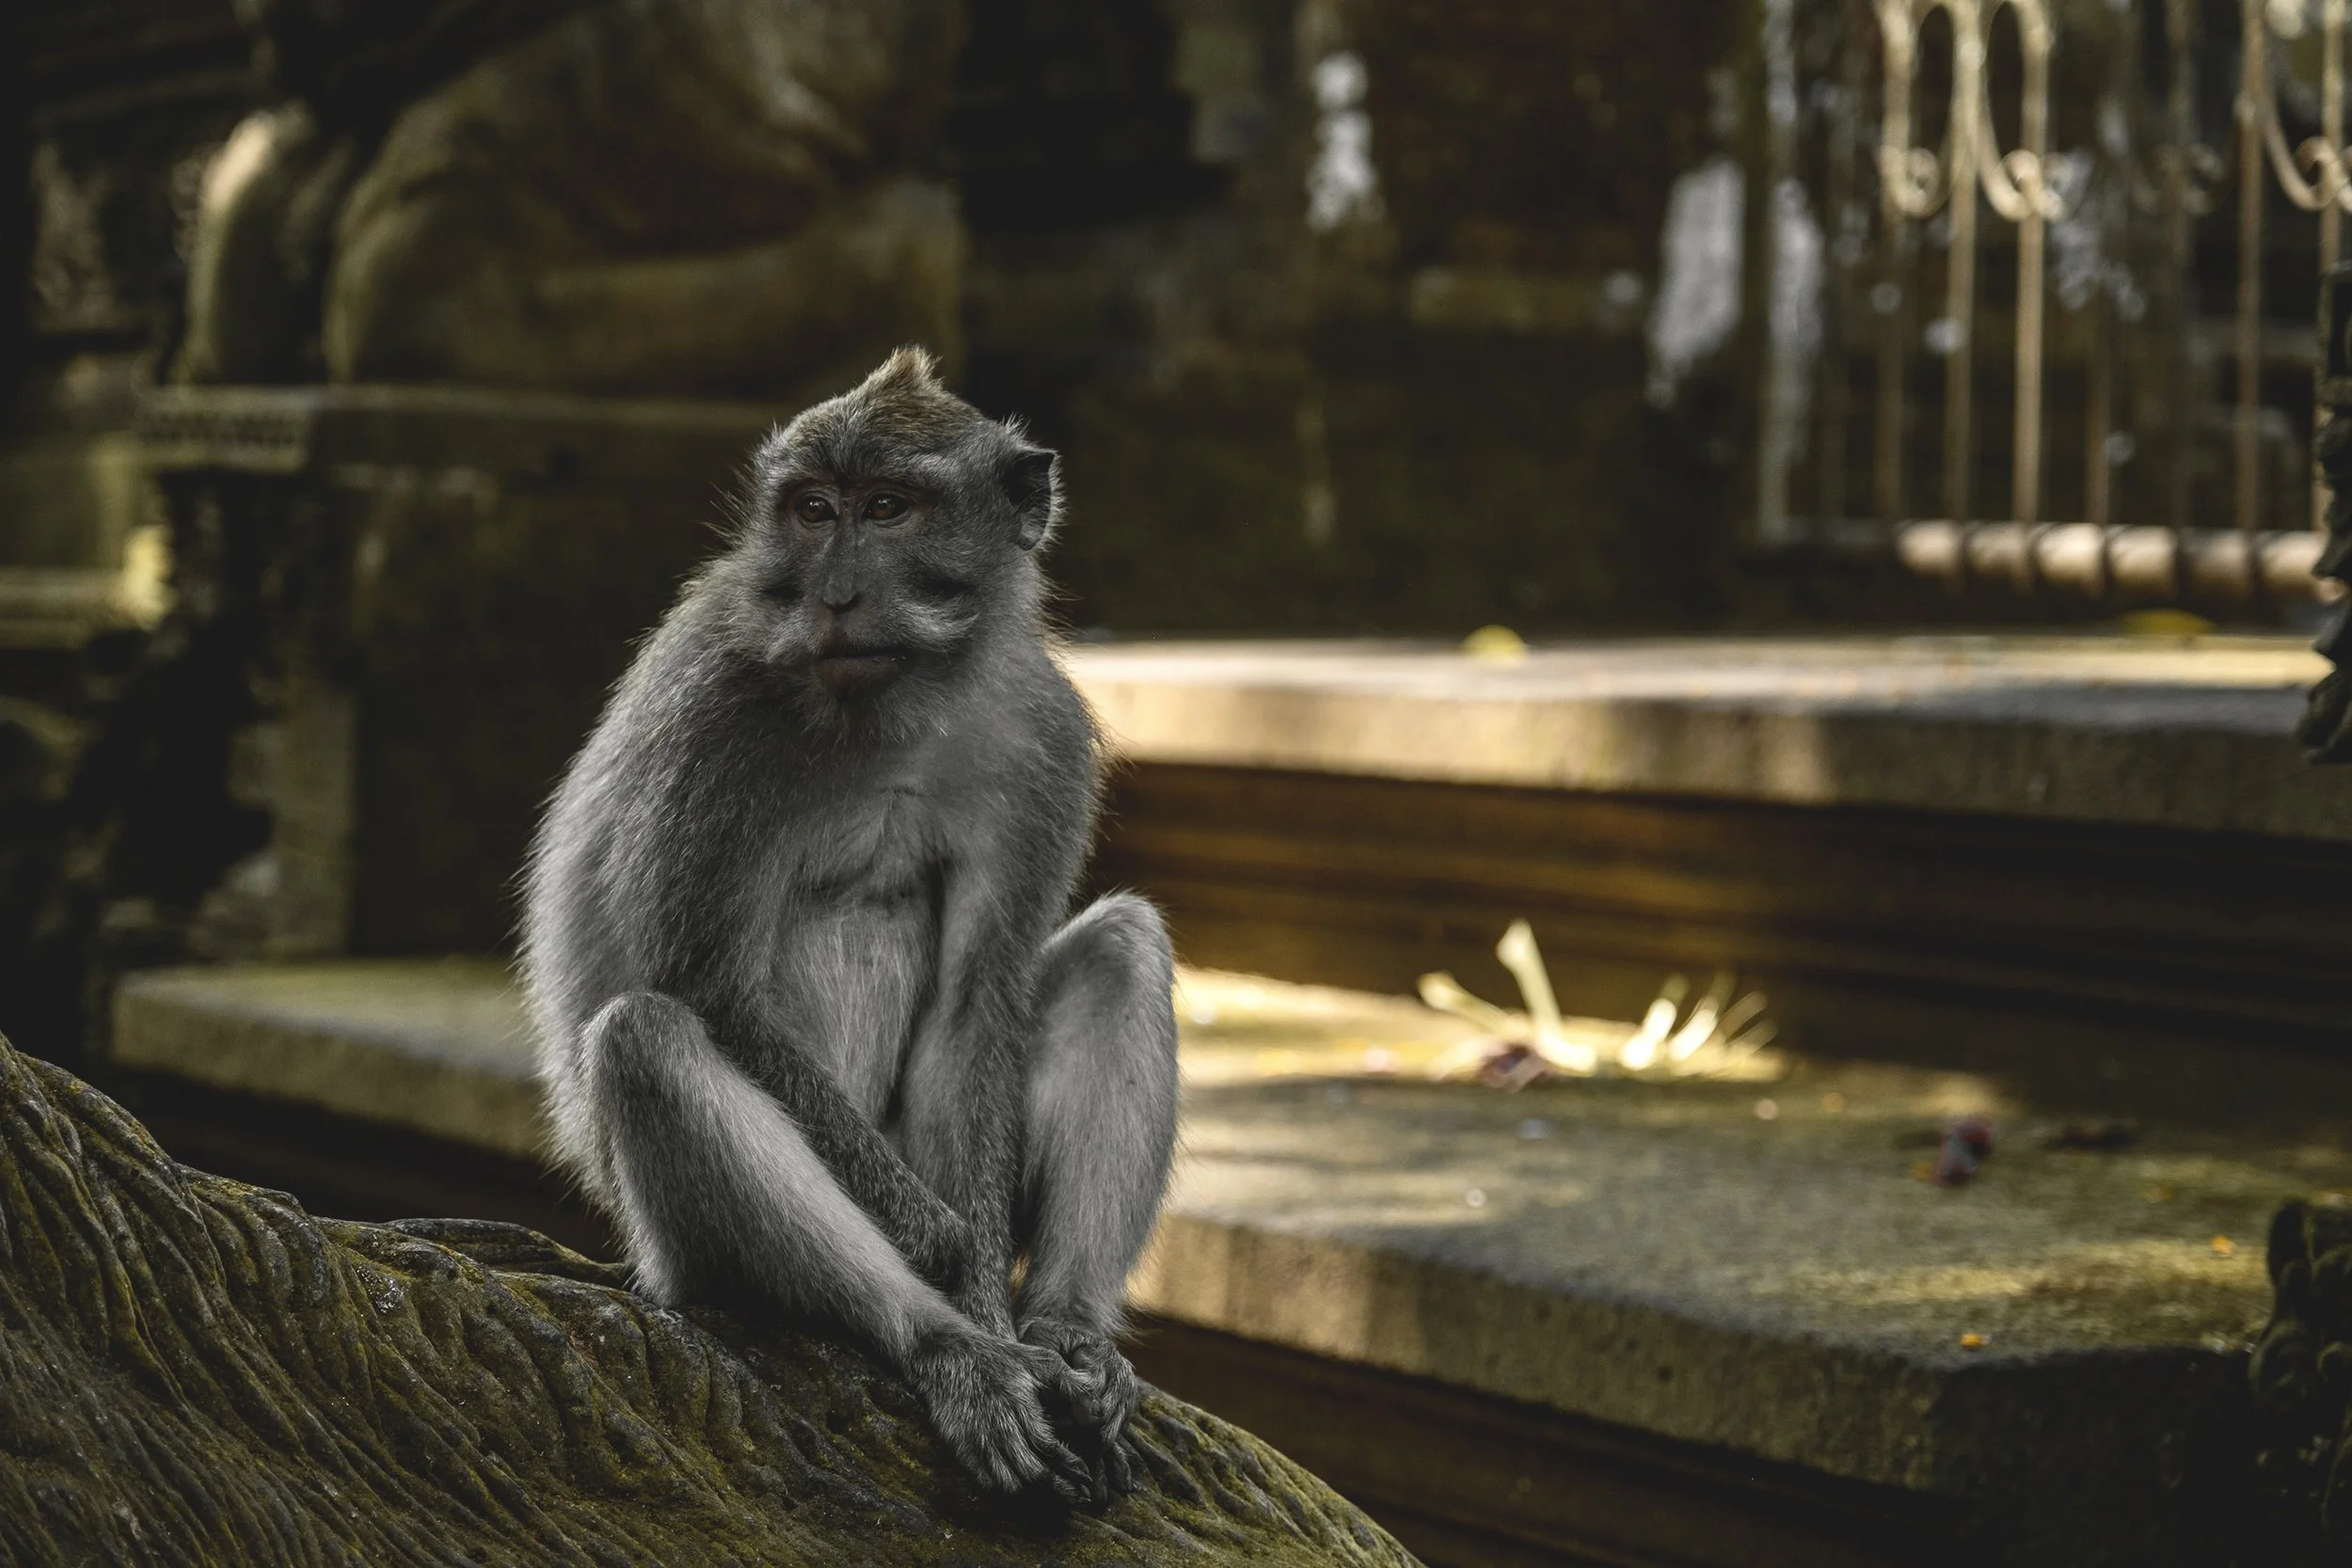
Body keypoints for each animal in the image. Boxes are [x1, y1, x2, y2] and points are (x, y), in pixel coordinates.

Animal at [518, 348, 1180, 1503]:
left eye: (888, 508)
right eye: (814, 510)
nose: (833, 593)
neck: (895, 702)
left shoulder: (1042, 740)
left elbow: (977, 1001)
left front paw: (996, 1295)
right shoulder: (712, 715)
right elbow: (714, 991)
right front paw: (949, 1266)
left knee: (1122, 947)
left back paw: (1066, 1331)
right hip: (677, 1256)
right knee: (648, 1036)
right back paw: (945, 1342)